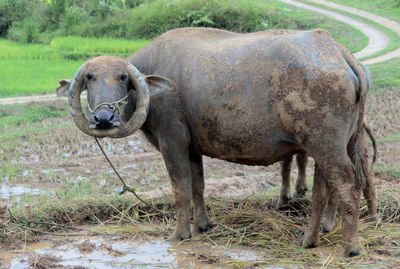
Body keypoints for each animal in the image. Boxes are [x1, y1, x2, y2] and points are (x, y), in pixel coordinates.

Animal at [57, 28, 374, 256]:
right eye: (90, 77)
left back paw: (350, 247)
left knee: (349, 186)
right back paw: (310, 239)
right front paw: (202, 225)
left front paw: (179, 234)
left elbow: (181, 189)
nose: (104, 118)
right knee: (325, 190)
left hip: (327, 147)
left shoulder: (172, 142)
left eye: (123, 77)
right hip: (334, 145)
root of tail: (339, 54)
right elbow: (198, 186)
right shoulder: (192, 148)